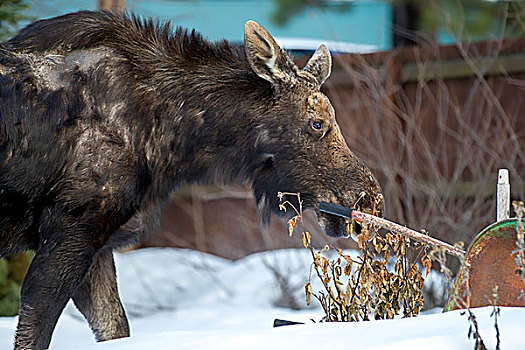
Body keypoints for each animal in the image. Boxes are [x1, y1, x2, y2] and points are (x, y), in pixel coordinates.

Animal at [1, 10, 380, 350]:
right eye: (317, 123)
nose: (368, 198)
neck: (169, 141)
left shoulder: (98, 243)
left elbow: (115, 326)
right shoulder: (70, 228)